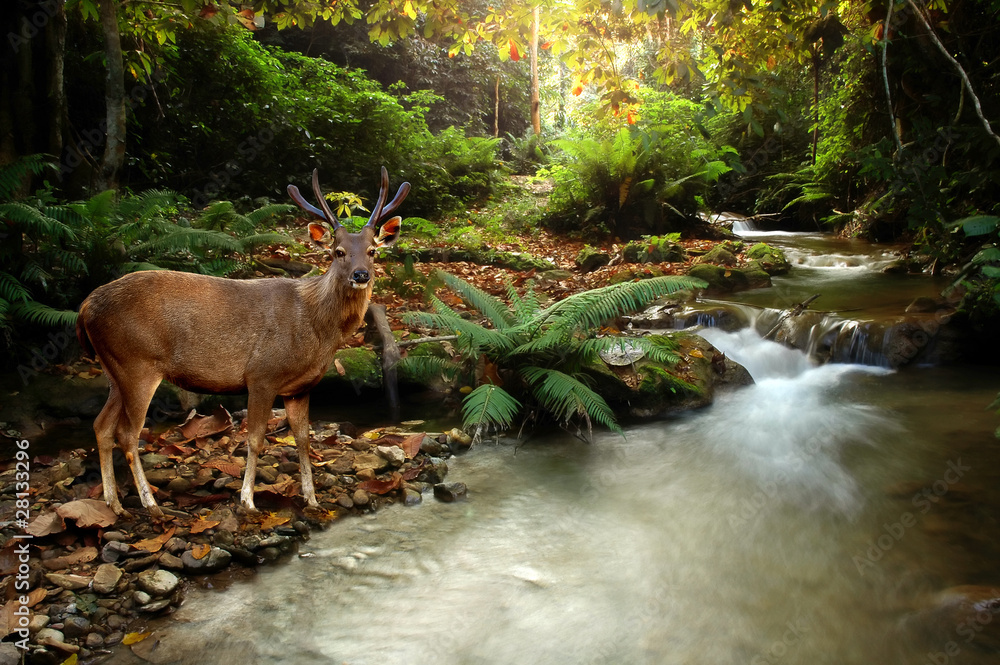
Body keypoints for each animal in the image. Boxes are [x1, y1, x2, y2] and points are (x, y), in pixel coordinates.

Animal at [76, 169, 408, 516]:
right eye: (337, 251)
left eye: (372, 250)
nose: (360, 275)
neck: (317, 328)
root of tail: (85, 307)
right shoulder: (261, 374)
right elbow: (255, 439)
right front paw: (247, 499)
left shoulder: (300, 387)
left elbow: (303, 438)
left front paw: (312, 498)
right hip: (137, 363)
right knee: (127, 434)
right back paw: (150, 503)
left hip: (115, 369)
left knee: (101, 426)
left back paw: (114, 503)